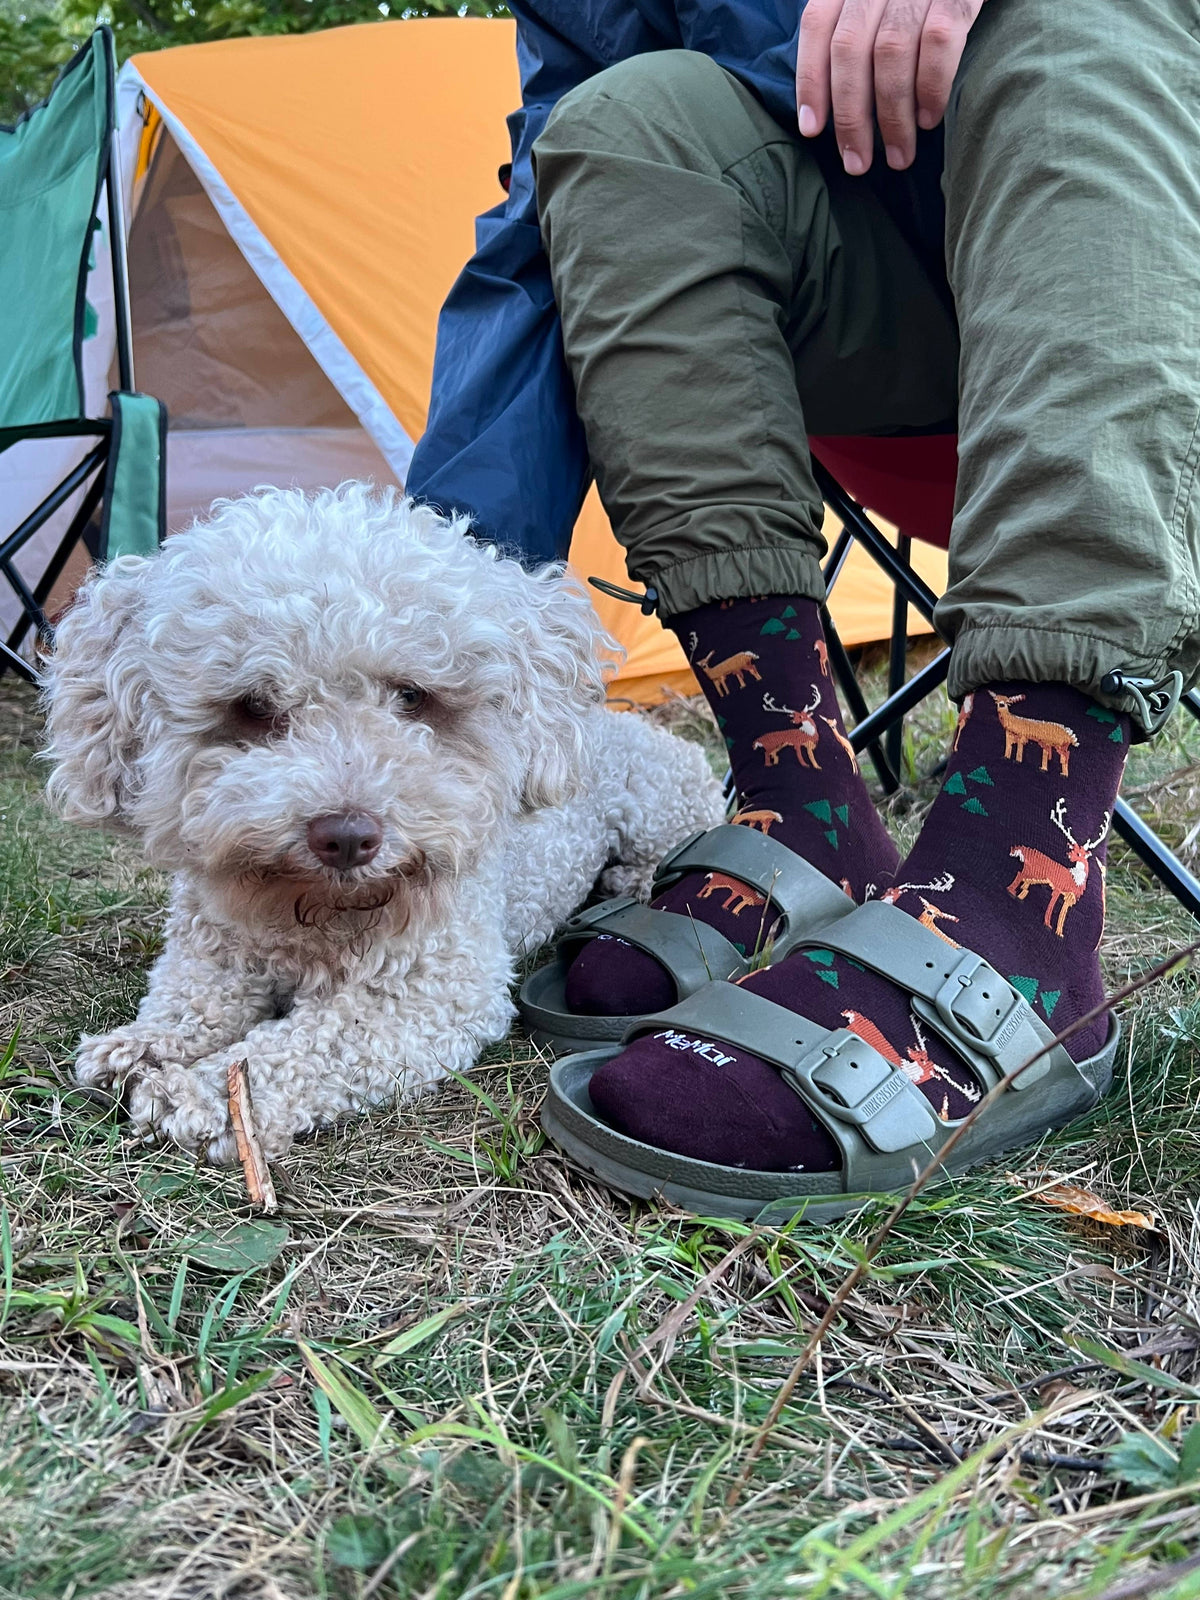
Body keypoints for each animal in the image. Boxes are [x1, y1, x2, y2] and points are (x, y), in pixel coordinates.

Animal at [1007, 798, 1110, 937]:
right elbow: (1051, 906)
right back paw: (1011, 891)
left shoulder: (1069, 896)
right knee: (1019, 874)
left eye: (1080, 854)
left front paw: (1059, 932)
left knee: (1024, 881)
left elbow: (1062, 913)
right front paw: (1048, 924)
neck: (1076, 878)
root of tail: (1024, 849)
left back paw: (1019, 895)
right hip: (1032, 872)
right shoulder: (1058, 888)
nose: (1069, 855)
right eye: (1073, 849)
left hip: (1035, 877)